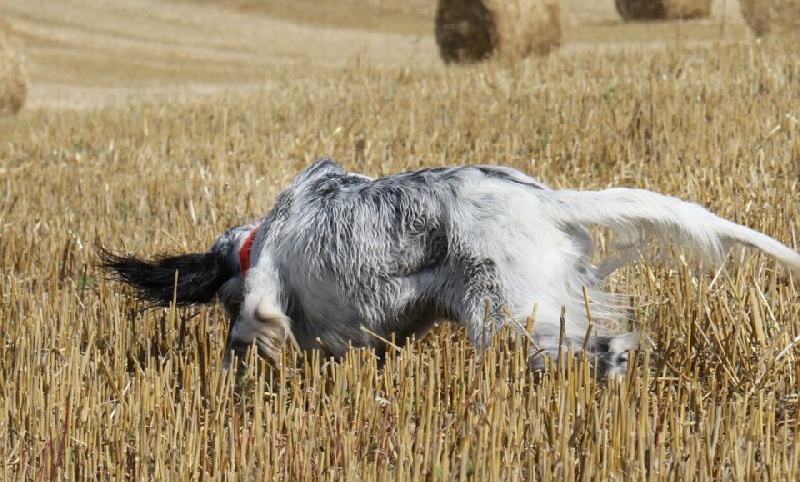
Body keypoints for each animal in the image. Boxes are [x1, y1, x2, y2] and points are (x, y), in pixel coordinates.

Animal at [98, 157, 800, 376]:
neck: (260, 234)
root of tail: (541, 197)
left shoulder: (265, 294)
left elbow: (249, 329)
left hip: (512, 314)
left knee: (599, 345)